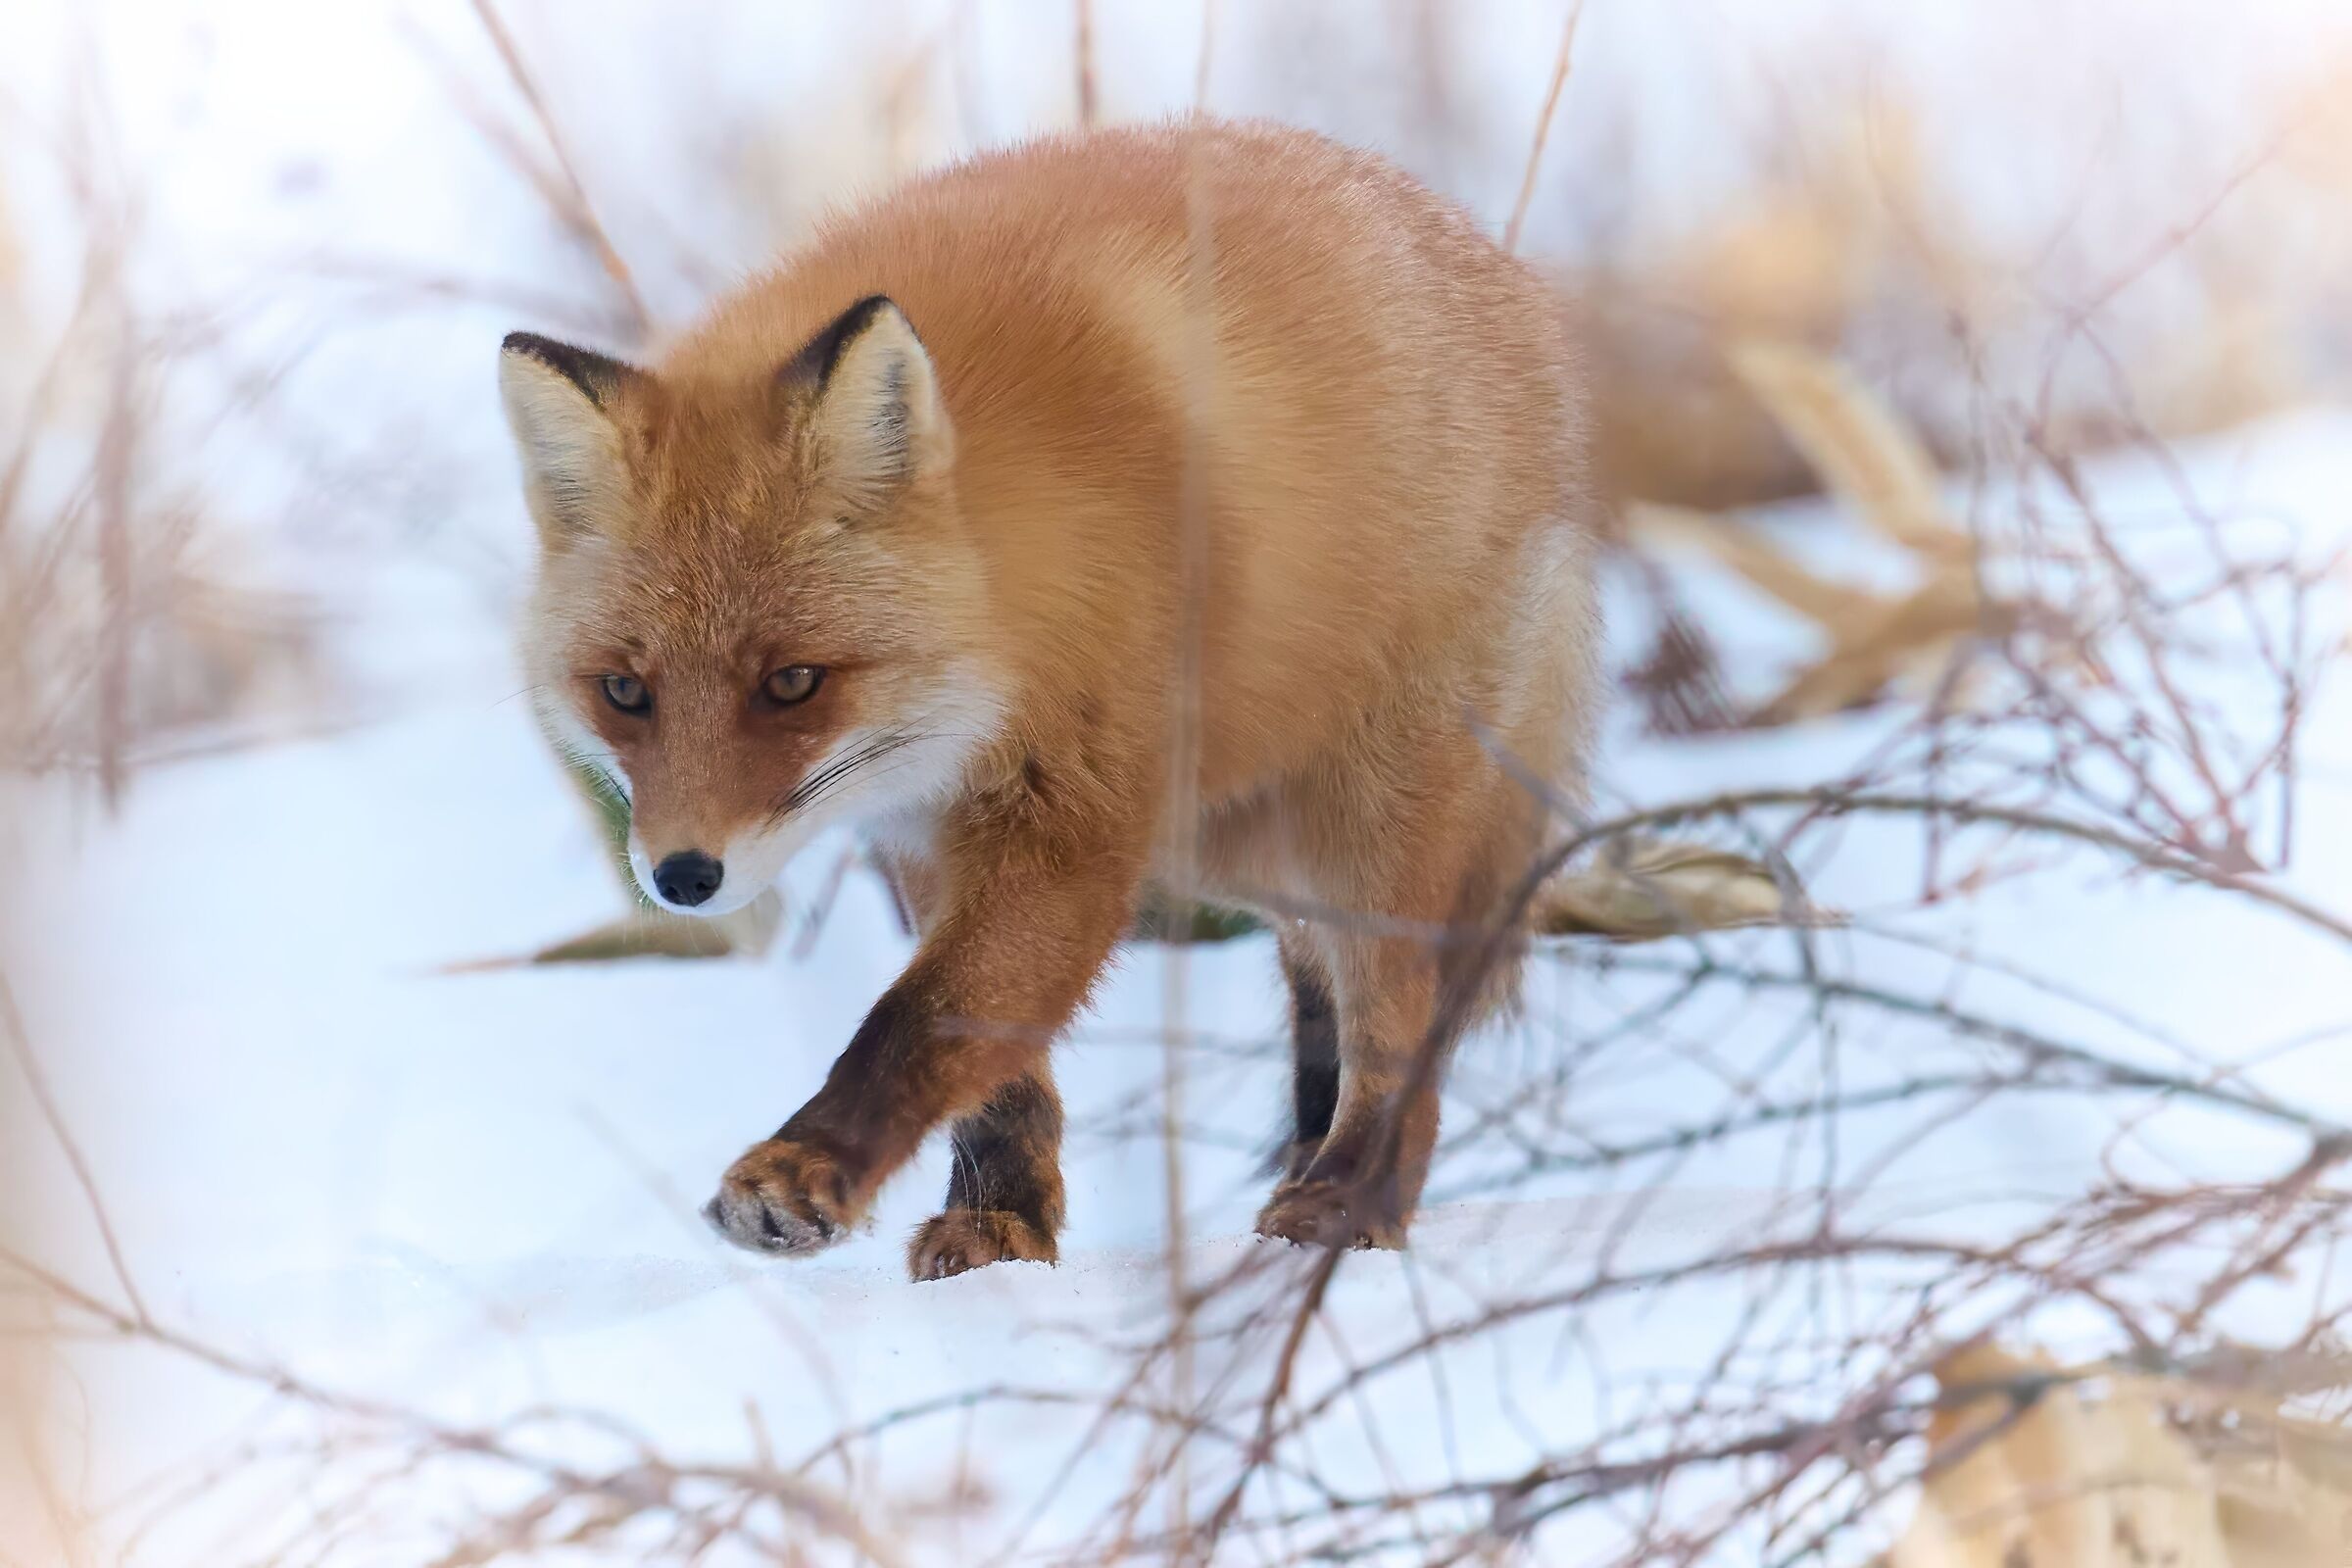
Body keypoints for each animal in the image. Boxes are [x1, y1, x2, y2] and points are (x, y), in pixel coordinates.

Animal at [497, 117, 1601, 1280]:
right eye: (625, 692)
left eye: (791, 682)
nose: (683, 879)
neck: (1001, 609)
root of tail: (1495, 267)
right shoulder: (925, 823)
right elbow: (996, 1070)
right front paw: (1004, 1225)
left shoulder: (1071, 825)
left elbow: (924, 1018)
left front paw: (805, 1173)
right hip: (1248, 842)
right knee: (1323, 993)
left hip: (1364, 822)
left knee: (1401, 1021)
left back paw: (1351, 1199)